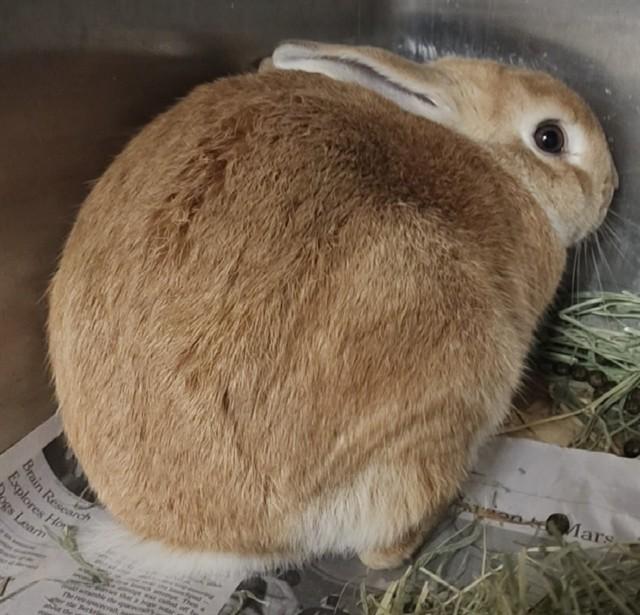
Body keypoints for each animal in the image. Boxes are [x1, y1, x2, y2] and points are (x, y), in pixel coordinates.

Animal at [47, 40, 618, 576]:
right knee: (383, 550)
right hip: (446, 394)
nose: (612, 188)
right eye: (550, 137)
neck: (498, 164)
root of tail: (235, 537)